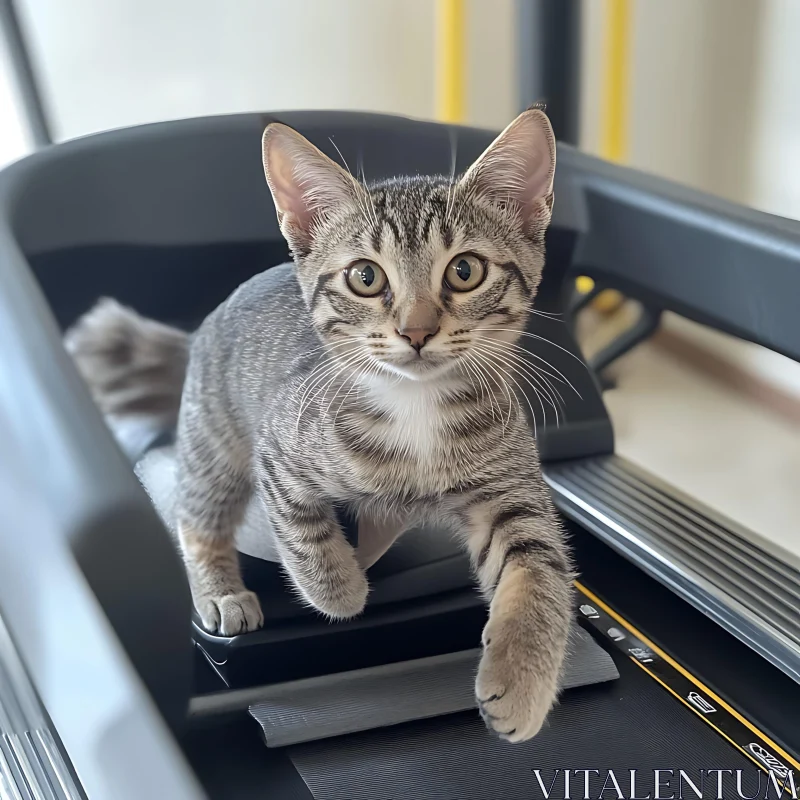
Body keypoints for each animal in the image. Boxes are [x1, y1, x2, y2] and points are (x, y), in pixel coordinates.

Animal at [64, 108, 576, 744]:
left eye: (465, 270)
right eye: (365, 277)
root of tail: (202, 324)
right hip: (214, 440)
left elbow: (539, 569)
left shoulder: (509, 483)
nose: (416, 330)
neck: (417, 407)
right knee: (196, 515)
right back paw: (223, 590)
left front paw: (524, 679)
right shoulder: (278, 451)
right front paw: (340, 589)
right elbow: (302, 533)